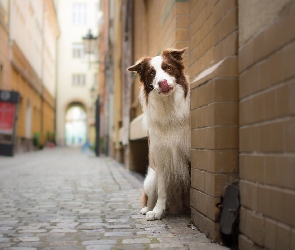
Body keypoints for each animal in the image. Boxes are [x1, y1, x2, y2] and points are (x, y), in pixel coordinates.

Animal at [128, 47, 191, 220]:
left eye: (168, 67)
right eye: (151, 73)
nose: (162, 83)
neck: (169, 108)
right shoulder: (161, 158)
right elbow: (162, 191)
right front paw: (157, 211)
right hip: (151, 179)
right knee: (150, 197)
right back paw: (147, 209)